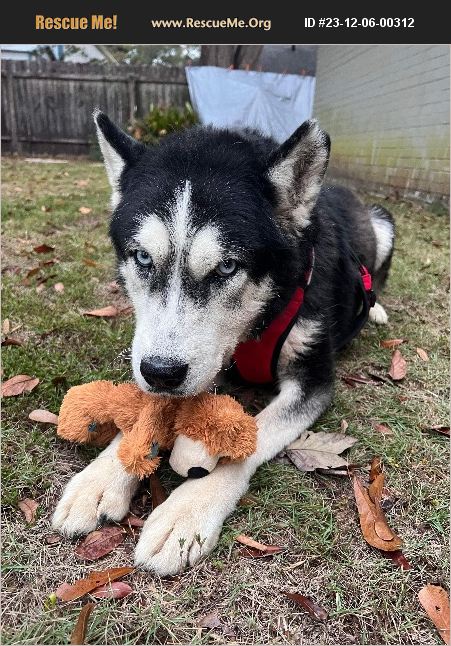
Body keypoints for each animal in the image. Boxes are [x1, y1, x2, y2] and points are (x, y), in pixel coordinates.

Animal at [53, 111, 396, 576]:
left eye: (227, 267)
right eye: (142, 257)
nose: (161, 373)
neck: (259, 319)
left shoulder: (314, 380)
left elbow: (251, 437)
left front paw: (186, 512)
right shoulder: (176, 359)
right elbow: (151, 409)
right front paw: (102, 476)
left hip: (383, 223)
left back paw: (375, 309)